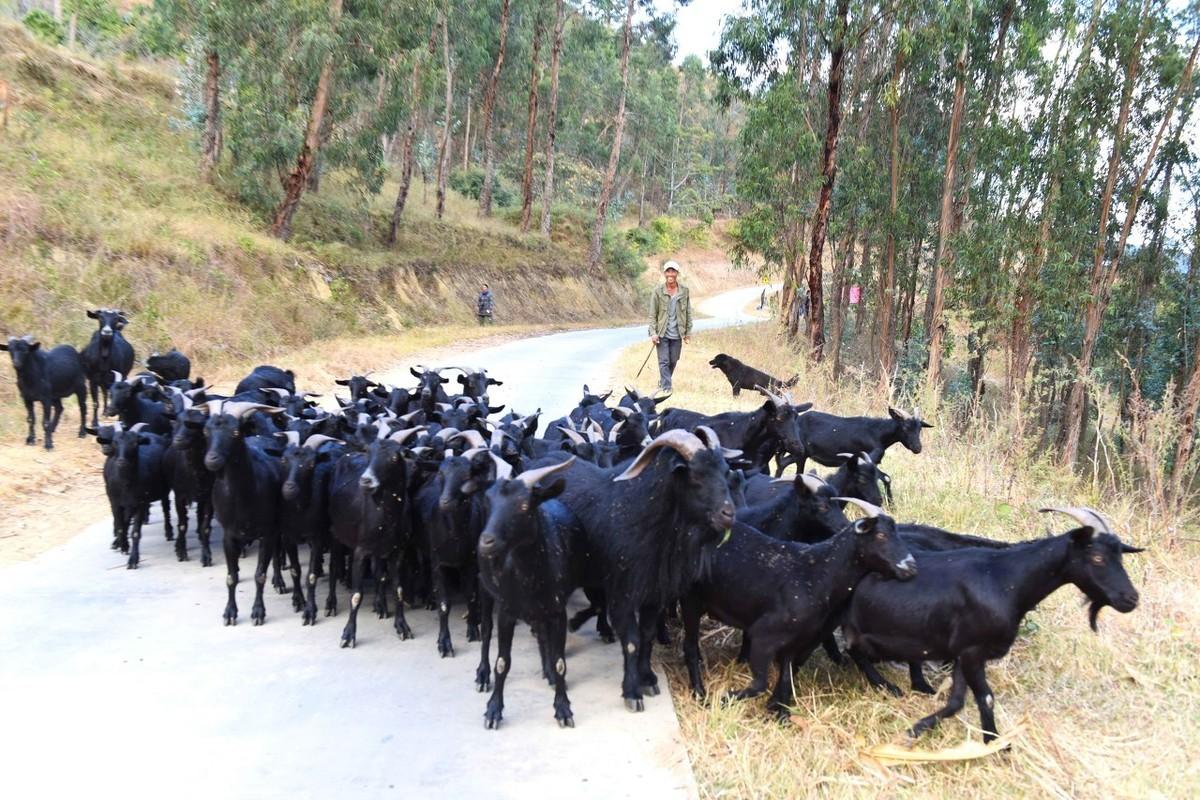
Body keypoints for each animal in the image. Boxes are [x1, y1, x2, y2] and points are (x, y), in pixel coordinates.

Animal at [475, 460, 578, 729]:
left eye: (523, 505)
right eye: (488, 502)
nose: (485, 542)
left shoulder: (557, 610)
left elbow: (560, 662)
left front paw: (563, 708)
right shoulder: (506, 611)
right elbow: (502, 662)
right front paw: (493, 710)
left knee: (541, 633)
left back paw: (547, 672)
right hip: (483, 589)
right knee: (486, 631)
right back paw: (482, 674)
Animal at [681, 501, 912, 719]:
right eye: (880, 535)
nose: (910, 566)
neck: (818, 572)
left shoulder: (793, 641)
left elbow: (786, 677)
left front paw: (781, 712)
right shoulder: (763, 635)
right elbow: (760, 684)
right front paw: (725, 698)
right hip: (690, 600)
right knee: (690, 647)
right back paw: (700, 694)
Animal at [844, 506, 1142, 743]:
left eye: (1120, 556)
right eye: (1097, 558)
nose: (1131, 598)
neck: (1005, 579)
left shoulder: (963, 652)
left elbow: (957, 701)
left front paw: (919, 728)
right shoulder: (973, 652)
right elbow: (985, 698)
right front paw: (995, 744)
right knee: (854, 650)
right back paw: (885, 685)